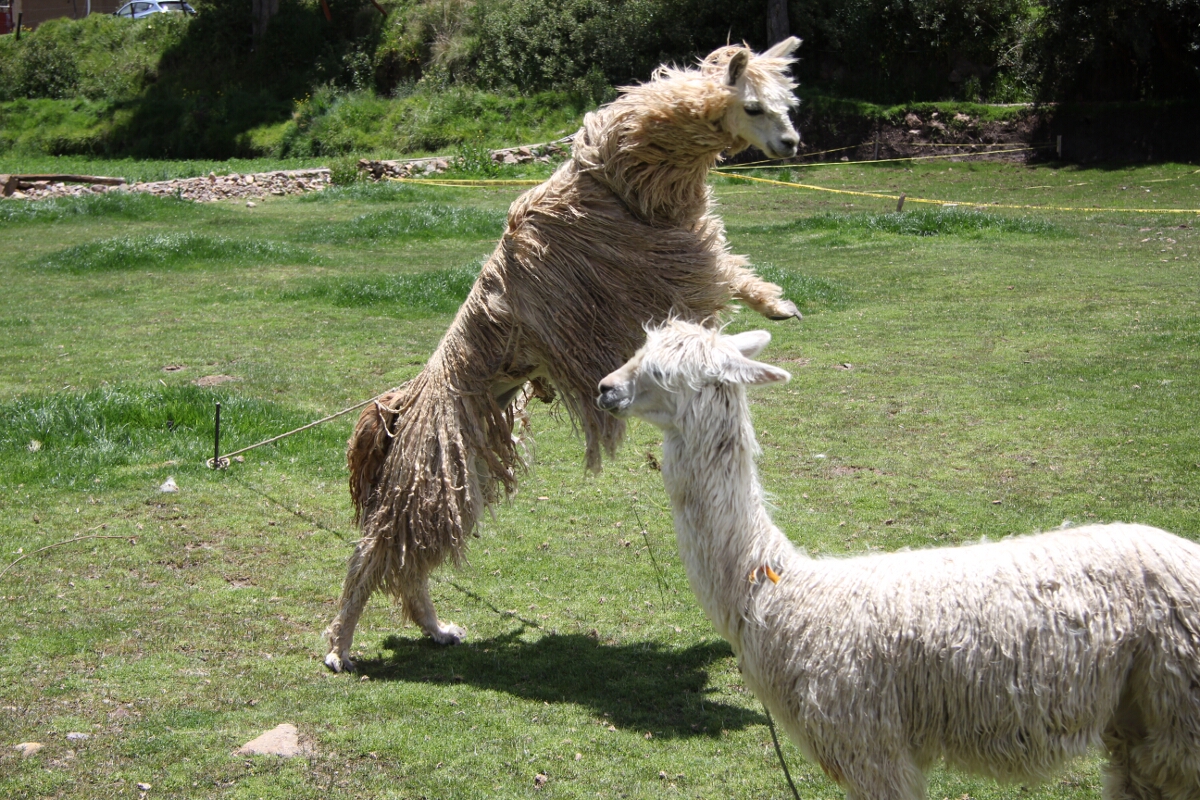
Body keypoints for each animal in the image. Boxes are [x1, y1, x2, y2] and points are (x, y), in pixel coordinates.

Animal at [325, 39, 805, 672]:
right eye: (752, 106)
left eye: (787, 103)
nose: (792, 143)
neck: (618, 182)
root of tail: (399, 409)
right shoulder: (657, 275)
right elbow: (721, 277)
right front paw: (772, 308)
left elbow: (732, 272)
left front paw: (775, 307)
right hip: (430, 469)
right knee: (374, 550)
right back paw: (340, 648)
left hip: (458, 472)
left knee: (410, 557)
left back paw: (436, 629)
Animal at [597, 319, 1200, 800]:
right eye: (637, 349)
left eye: (659, 370)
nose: (605, 387)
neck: (777, 592)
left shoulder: (871, 745)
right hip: (1135, 718)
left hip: (1180, 713)